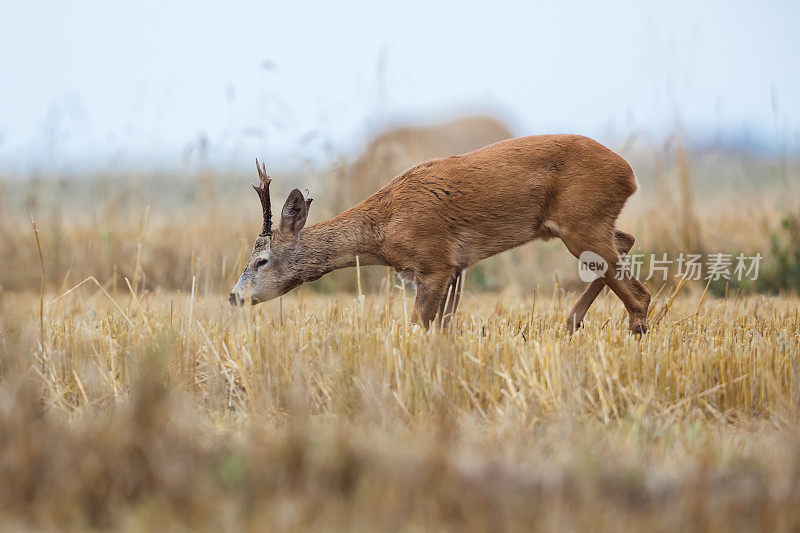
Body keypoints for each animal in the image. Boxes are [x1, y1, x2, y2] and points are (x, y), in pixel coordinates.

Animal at [230, 134, 648, 332]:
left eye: (261, 259)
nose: (234, 296)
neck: (383, 229)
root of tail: (630, 174)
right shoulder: (456, 267)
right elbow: (444, 327)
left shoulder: (435, 261)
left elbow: (417, 326)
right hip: (587, 223)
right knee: (626, 240)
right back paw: (573, 322)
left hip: (581, 221)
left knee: (640, 292)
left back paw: (630, 329)